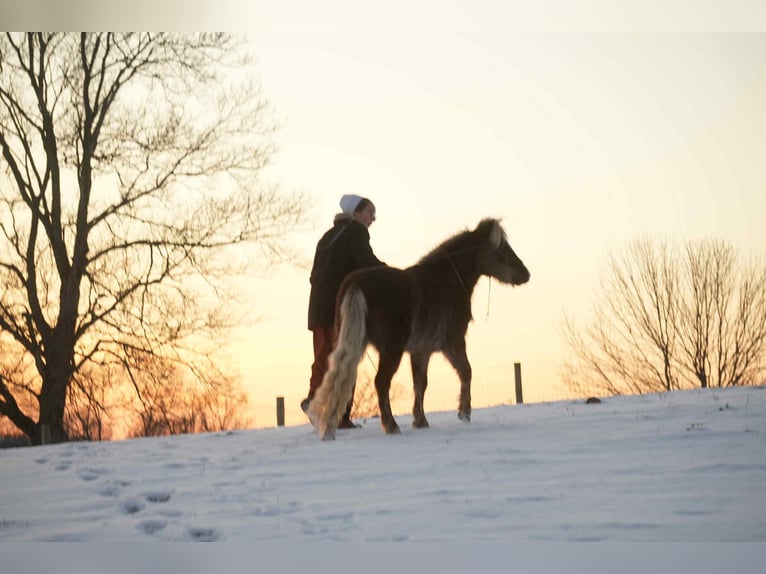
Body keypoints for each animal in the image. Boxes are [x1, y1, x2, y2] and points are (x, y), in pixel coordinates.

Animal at [308, 218, 530, 440]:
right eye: (501, 248)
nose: (525, 274)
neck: (446, 281)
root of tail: (356, 284)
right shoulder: (453, 342)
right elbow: (465, 371)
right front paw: (464, 411)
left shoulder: (420, 351)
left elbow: (420, 383)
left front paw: (420, 420)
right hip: (391, 350)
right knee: (381, 382)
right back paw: (391, 425)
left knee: (338, 377)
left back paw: (329, 426)